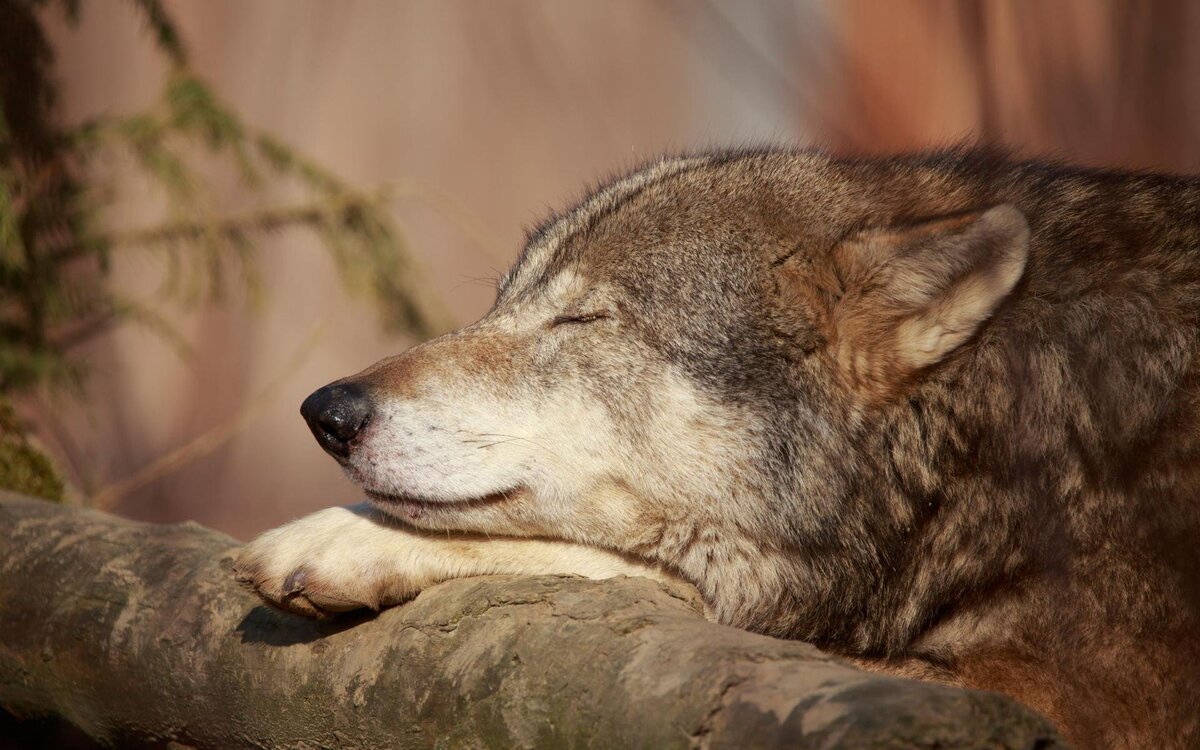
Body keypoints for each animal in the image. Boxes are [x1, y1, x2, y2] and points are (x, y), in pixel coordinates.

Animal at [234, 147, 1200, 748]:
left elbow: (640, 566)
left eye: (583, 320)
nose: (326, 411)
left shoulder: (1061, 706)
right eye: (503, 305)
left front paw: (345, 537)